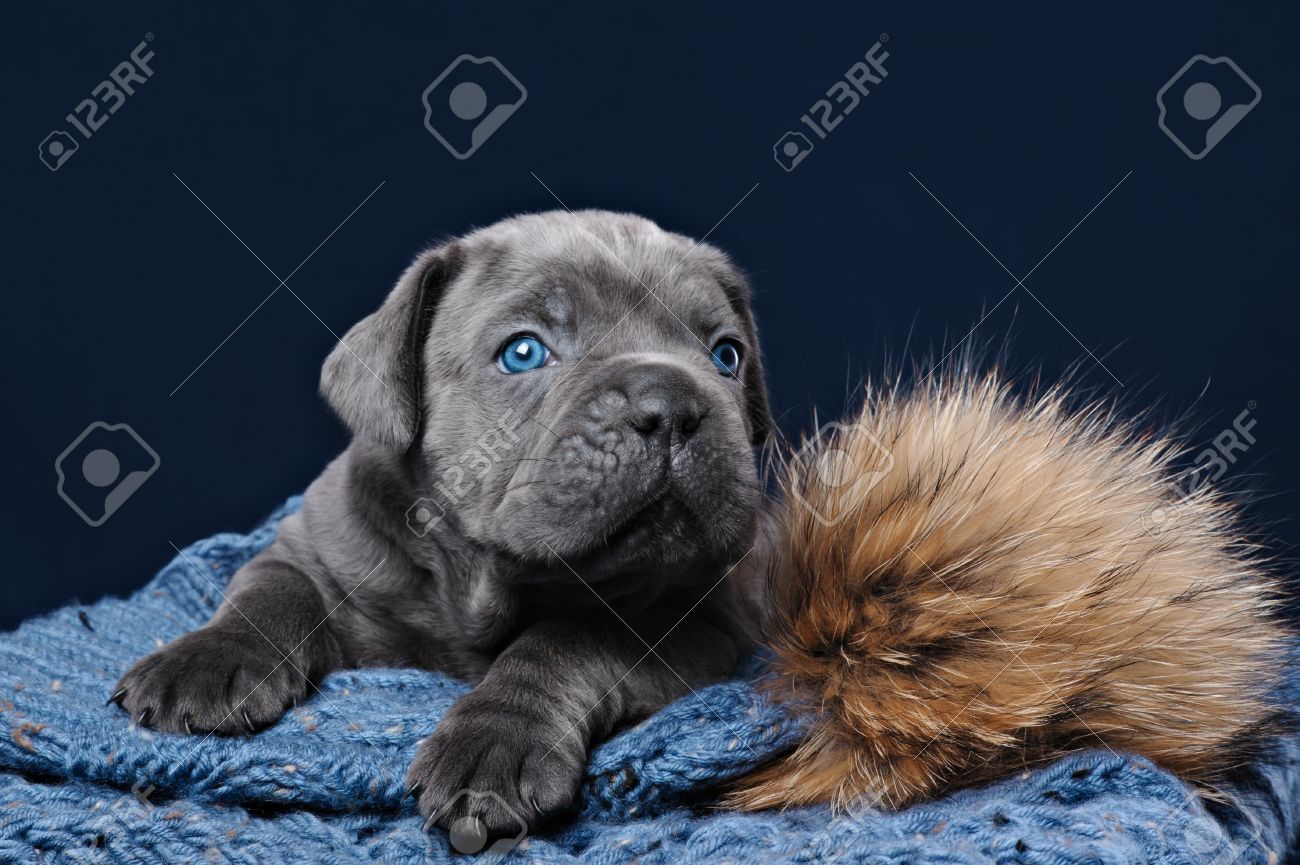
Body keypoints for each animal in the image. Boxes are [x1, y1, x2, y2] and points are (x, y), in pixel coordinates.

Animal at [111, 208, 769, 837]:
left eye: (726, 356)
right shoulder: (309, 547)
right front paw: (205, 659)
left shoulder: (702, 622)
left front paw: (496, 740)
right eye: (524, 352)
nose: (672, 404)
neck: (480, 586)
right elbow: (271, 589)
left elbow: (570, 639)